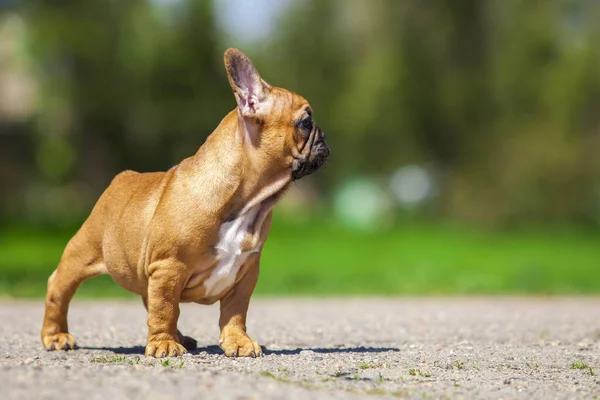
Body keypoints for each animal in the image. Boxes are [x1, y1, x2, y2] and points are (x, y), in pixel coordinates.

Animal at [41, 48, 332, 358]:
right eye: (305, 122)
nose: (325, 137)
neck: (248, 202)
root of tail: (121, 178)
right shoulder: (169, 267)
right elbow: (166, 308)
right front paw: (164, 344)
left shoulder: (245, 273)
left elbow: (235, 311)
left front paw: (238, 341)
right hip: (84, 251)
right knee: (59, 287)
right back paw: (56, 336)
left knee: (149, 300)